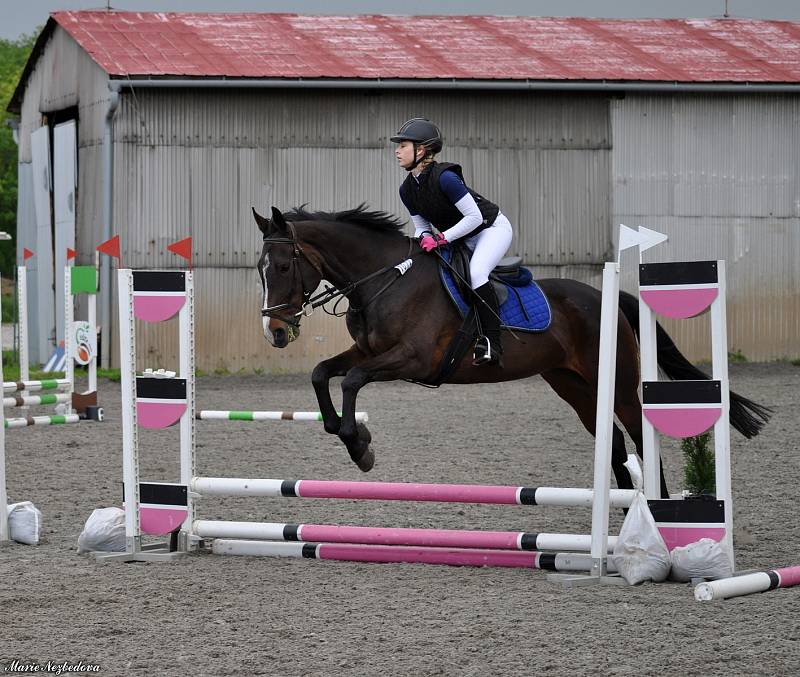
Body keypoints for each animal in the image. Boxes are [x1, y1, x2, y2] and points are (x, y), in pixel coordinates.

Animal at [253, 203, 772, 494]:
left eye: (283, 265)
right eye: (261, 267)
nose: (274, 331)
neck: (385, 279)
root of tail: (605, 298)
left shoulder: (410, 360)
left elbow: (353, 382)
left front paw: (359, 445)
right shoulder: (366, 352)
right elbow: (323, 373)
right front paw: (348, 435)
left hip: (621, 385)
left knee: (640, 440)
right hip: (574, 387)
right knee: (615, 448)